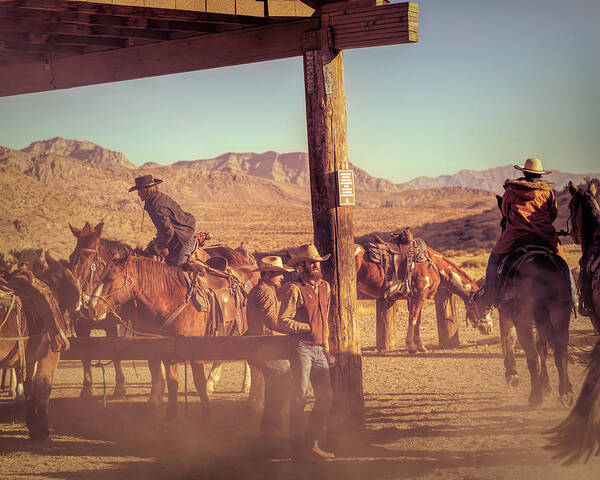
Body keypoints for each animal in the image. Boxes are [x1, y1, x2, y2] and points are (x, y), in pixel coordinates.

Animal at [87, 255, 246, 416]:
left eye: (111, 278)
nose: (91, 307)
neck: (171, 300)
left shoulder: (193, 350)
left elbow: (198, 380)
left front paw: (206, 410)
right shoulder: (164, 349)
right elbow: (169, 380)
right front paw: (169, 411)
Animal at [356, 242, 492, 350]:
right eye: (484, 306)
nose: (489, 329)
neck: (433, 265)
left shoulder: (415, 298)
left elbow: (417, 321)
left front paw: (420, 346)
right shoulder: (419, 296)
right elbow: (413, 319)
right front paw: (411, 346)